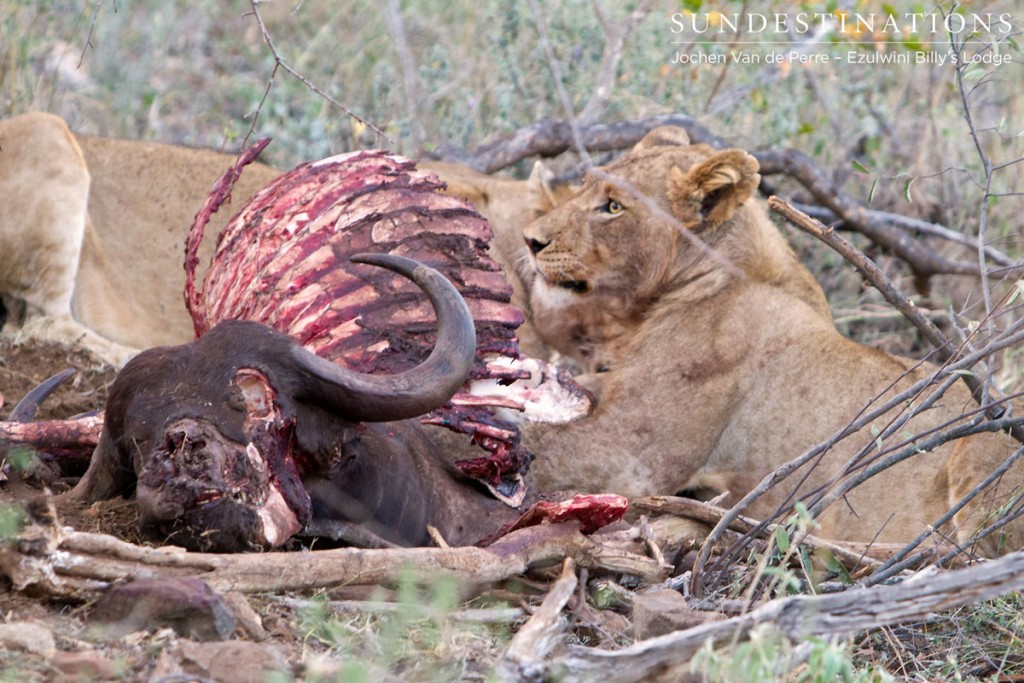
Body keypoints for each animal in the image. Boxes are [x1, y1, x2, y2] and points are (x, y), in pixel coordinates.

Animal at [520, 127, 1024, 552]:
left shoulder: (631, 455)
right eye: (584, 184)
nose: (531, 240)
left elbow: (542, 445)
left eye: (613, 207)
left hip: (981, 451)